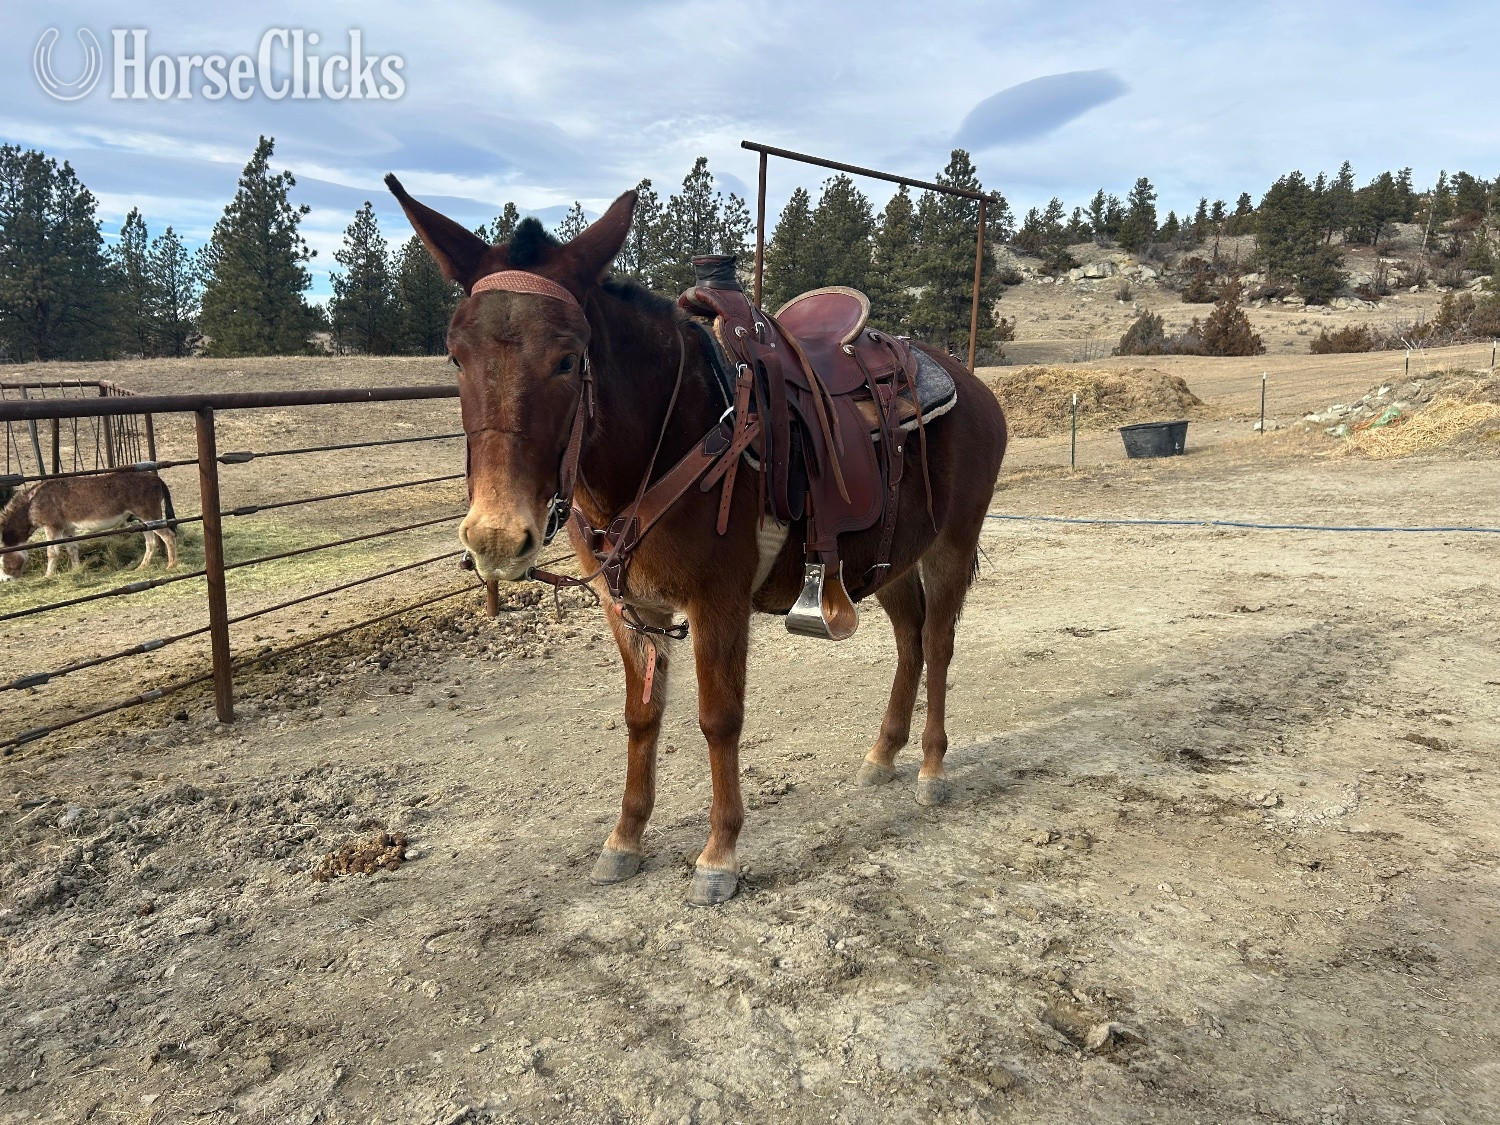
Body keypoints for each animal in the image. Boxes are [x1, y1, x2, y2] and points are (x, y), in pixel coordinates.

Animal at [1, 470, 178, 580]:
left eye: (1, 560)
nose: (5, 581)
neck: (32, 502)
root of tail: (155, 478)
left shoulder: (52, 527)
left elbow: (51, 553)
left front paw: (48, 576)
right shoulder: (67, 528)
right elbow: (72, 549)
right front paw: (76, 570)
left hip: (149, 516)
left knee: (169, 536)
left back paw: (171, 566)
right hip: (143, 520)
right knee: (151, 542)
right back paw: (141, 568)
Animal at [387, 177, 1007, 905]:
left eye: (568, 358)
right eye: (456, 356)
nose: (496, 536)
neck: (676, 433)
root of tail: (969, 383)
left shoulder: (718, 602)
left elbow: (719, 718)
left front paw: (719, 854)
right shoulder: (629, 607)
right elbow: (641, 714)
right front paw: (624, 839)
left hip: (951, 545)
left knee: (937, 644)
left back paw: (932, 767)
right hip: (888, 559)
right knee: (910, 640)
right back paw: (883, 753)